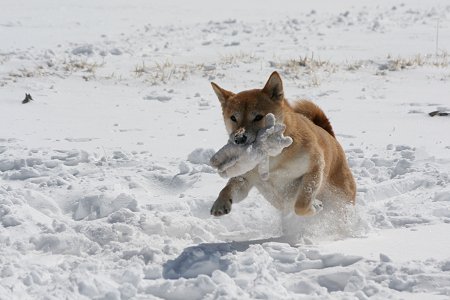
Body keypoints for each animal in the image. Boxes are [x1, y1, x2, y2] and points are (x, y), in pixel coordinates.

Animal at [210, 71, 356, 217]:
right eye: (233, 118)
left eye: (258, 117)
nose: (239, 138)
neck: (273, 158)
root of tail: (332, 137)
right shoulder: (246, 178)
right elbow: (229, 187)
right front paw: (220, 203)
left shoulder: (314, 167)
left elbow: (301, 204)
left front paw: (314, 206)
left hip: (340, 198)